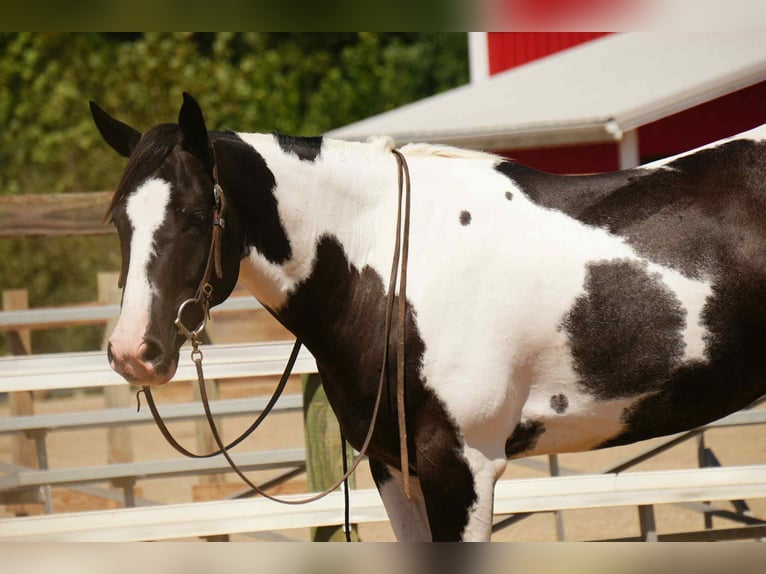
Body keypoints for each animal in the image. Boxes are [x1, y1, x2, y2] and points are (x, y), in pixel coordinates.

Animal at [90, 92, 766, 541]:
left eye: (195, 216)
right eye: (118, 220)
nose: (133, 352)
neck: (391, 273)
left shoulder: (461, 470)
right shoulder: (395, 469)